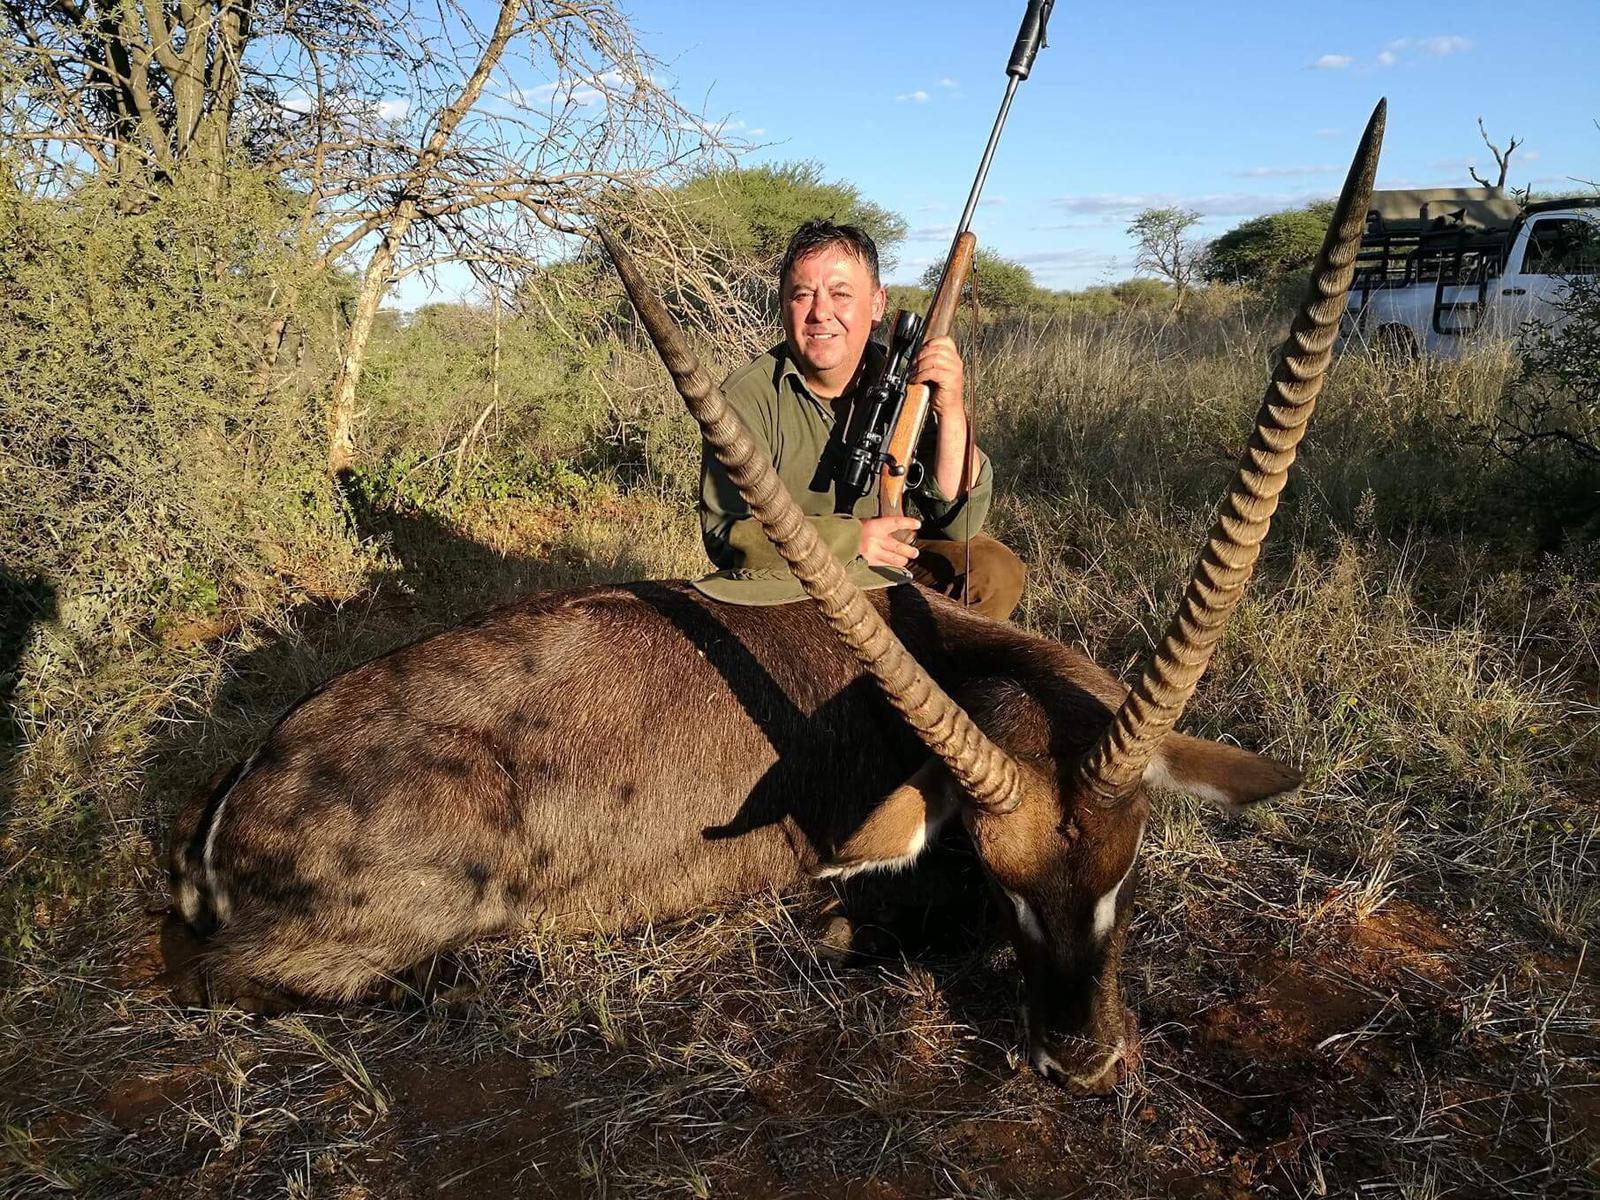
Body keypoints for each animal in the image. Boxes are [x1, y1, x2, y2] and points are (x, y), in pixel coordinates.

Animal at [167, 104, 1385, 1093]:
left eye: (1128, 867)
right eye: (1004, 884)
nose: (1079, 1059)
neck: (948, 655)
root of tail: (241, 787)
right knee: (236, 977)